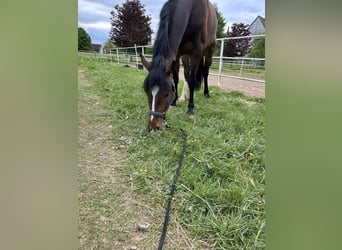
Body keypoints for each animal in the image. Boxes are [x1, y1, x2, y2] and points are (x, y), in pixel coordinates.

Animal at [140, 0, 216, 130]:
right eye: (146, 91)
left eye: (166, 94)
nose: (153, 126)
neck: (192, 9)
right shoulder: (177, 53)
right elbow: (176, 79)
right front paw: (174, 102)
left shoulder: (197, 52)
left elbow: (192, 81)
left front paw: (190, 109)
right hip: (185, 56)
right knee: (186, 74)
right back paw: (183, 97)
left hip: (209, 50)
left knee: (205, 72)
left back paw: (206, 94)